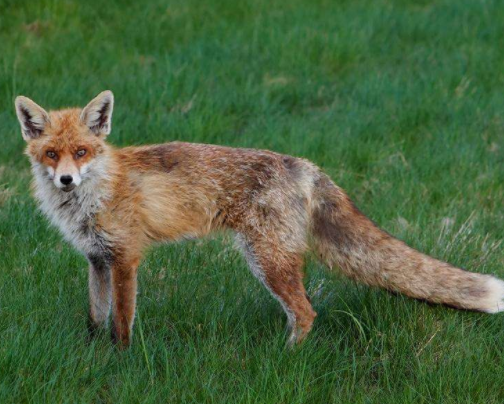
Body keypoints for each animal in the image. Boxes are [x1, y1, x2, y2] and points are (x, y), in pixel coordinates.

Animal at [13, 90, 504, 348]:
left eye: (82, 152)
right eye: (52, 154)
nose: (66, 180)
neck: (92, 198)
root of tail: (305, 164)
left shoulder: (126, 258)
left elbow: (121, 321)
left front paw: (121, 360)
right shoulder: (97, 258)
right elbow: (95, 317)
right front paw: (94, 352)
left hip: (266, 258)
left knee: (306, 311)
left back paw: (286, 357)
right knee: (300, 310)